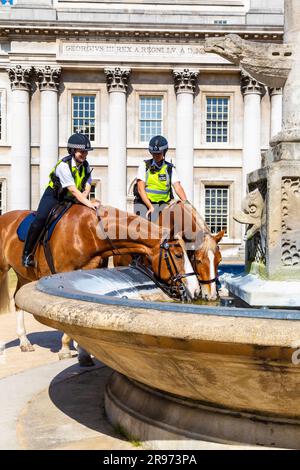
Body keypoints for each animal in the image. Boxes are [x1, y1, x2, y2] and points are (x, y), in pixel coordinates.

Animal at [1, 205, 200, 352]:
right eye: (178, 255)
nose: (196, 290)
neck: (89, 232)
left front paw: (80, 348)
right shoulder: (63, 274)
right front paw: (67, 347)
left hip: (23, 275)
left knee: (17, 300)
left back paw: (24, 341)